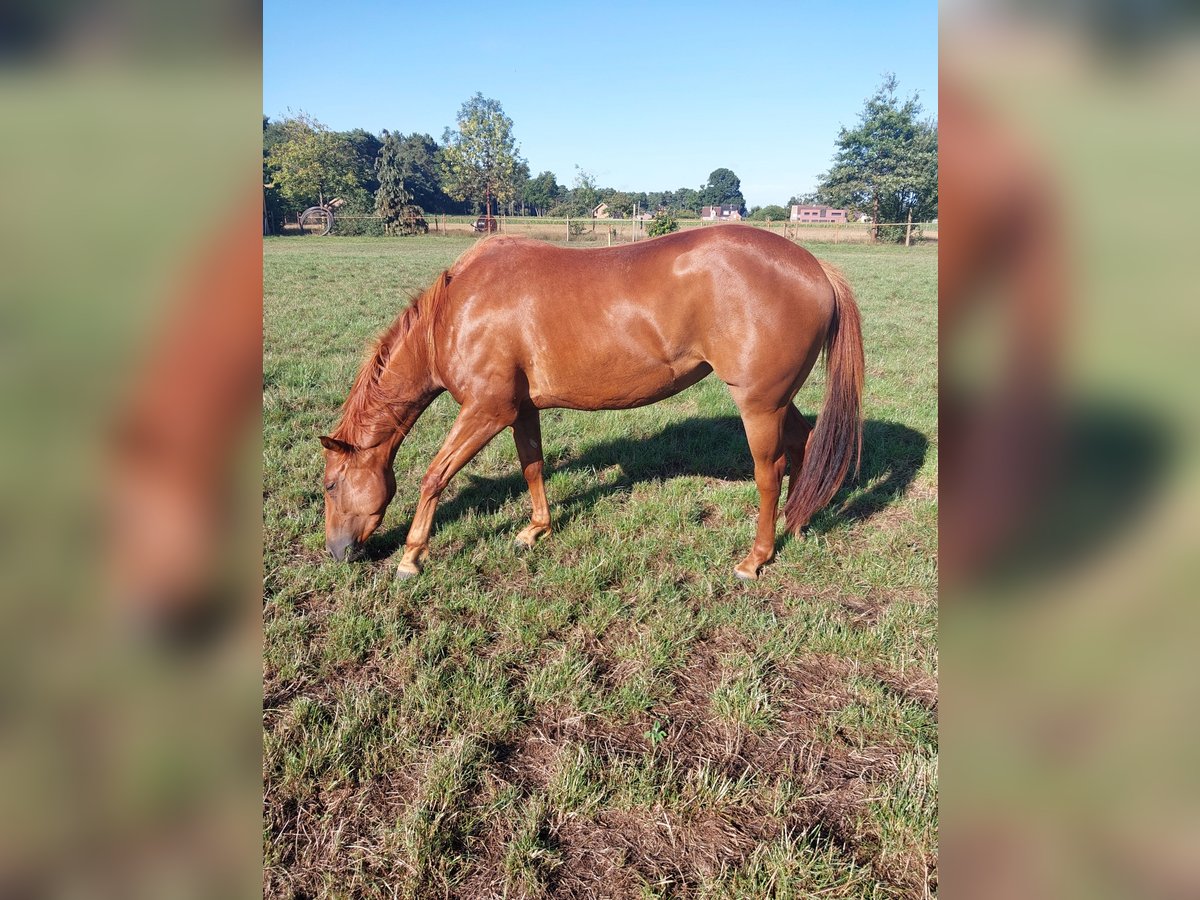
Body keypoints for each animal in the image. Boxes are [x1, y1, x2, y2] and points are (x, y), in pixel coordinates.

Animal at [320, 224, 864, 580]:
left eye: (329, 486)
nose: (336, 552)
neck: (456, 311)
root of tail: (815, 266)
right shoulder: (522, 410)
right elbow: (533, 467)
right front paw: (535, 530)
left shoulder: (487, 411)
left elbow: (435, 476)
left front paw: (411, 557)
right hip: (777, 401)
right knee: (806, 444)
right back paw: (798, 522)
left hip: (758, 406)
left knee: (770, 473)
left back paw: (756, 557)